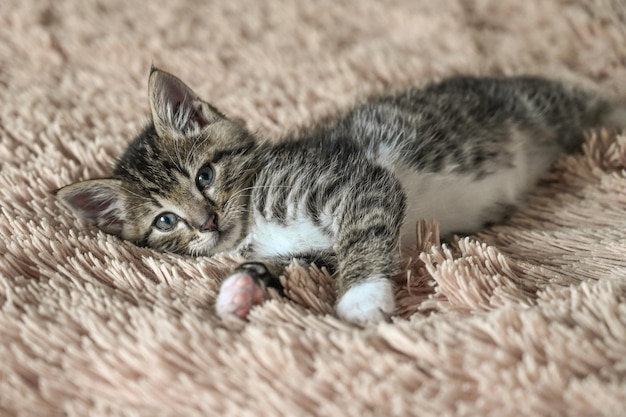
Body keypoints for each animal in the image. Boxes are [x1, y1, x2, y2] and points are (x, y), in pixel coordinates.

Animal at [56, 66, 620, 324]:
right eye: (165, 221)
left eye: (204, 176)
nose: (206, 221)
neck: (254, 221)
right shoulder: (308, 250)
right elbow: (285, 263)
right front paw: (241, 289)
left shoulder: (358, 183)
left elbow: (362, 237)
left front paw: (361, 296)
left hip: (545, 106)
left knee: (595, 101)